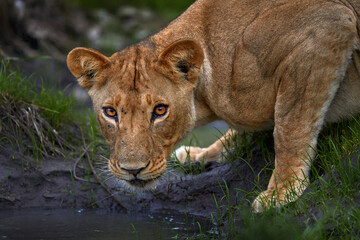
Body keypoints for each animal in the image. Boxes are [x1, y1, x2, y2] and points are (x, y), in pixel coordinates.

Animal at [66, 0, 360, 212]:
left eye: (160, 110)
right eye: (110, 112)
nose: (132, 170)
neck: (205, 97)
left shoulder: (327, 25)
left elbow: (291, 127)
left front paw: (283, 192)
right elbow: (241, 133)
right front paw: (201, 153)